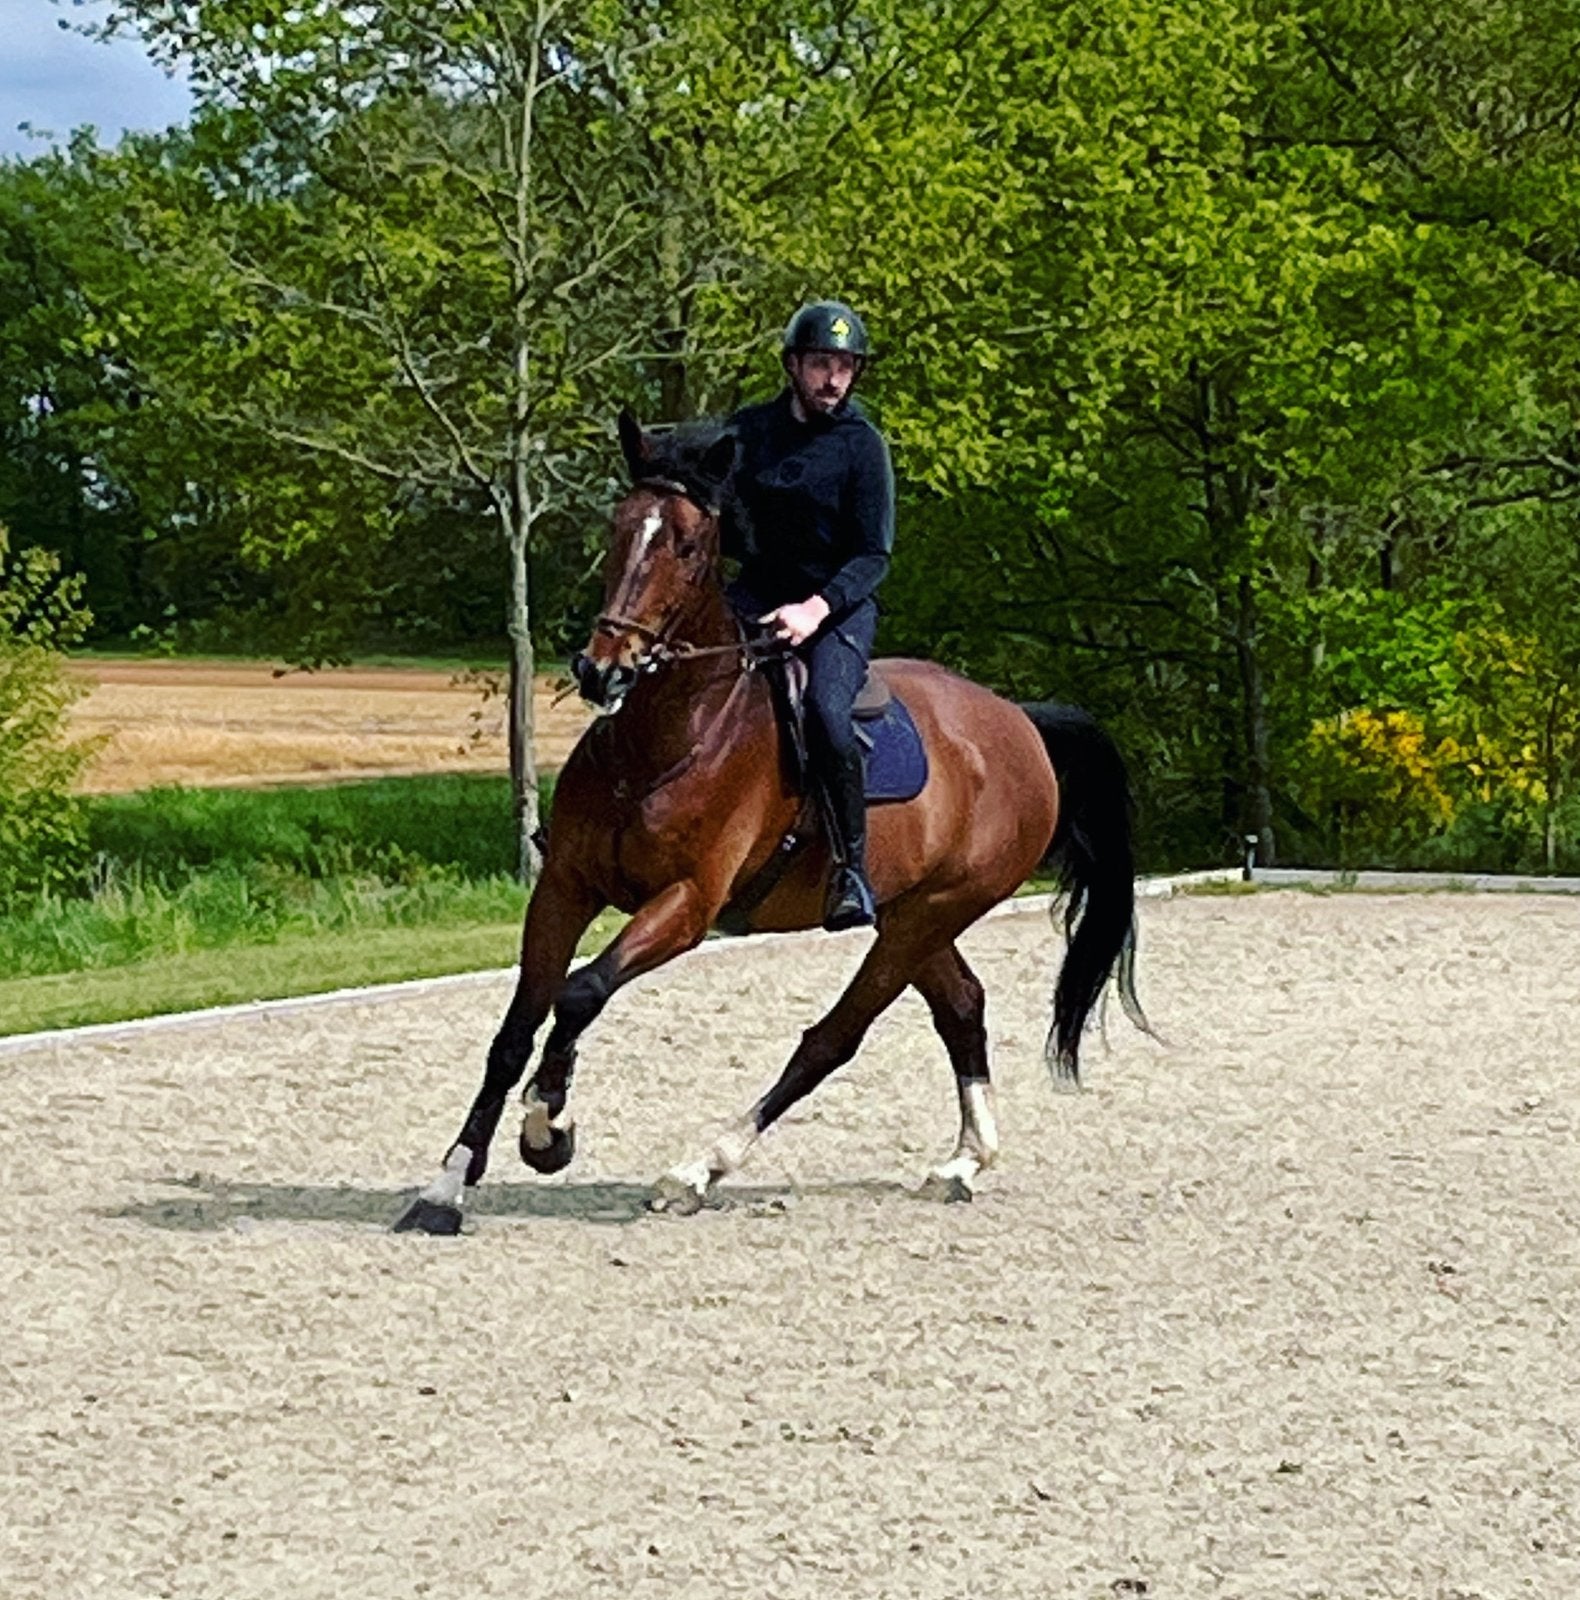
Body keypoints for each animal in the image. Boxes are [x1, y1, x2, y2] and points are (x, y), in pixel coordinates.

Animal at [395, 412, 1146, 1232]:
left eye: (688, 545)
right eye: (618, 528)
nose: (602, 669)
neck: (667, 735)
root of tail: (1021, 724)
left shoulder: (686, 904)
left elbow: (580, 994)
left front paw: (548, 1127)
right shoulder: (564, 886)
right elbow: (516, 1028)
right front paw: (447, 1185)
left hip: (933, 912)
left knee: (833, 1039)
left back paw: (699, 1169)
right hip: (914, 915)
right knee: (962, 1008)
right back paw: (964, 1161)